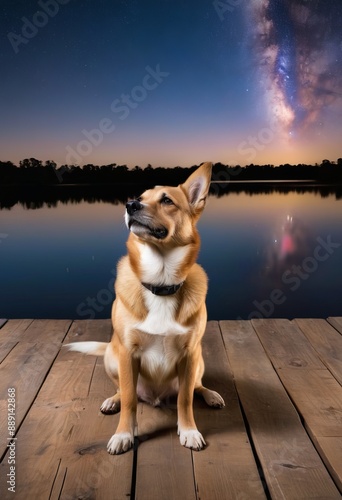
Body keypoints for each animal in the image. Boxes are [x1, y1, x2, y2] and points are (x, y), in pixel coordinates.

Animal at [68, 163, 226, 454]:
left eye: (167, 200)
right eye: (140, 197)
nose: (131, 204)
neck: (160, 281)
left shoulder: (190, 355)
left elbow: (185, 399)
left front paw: (189, 430)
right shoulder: (127, 354)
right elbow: (130, 400)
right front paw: (123, 434)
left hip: (199, 361)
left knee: (197, 387)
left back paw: (210, 395)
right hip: (113, 357)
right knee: (123, 390)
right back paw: (113, 399)